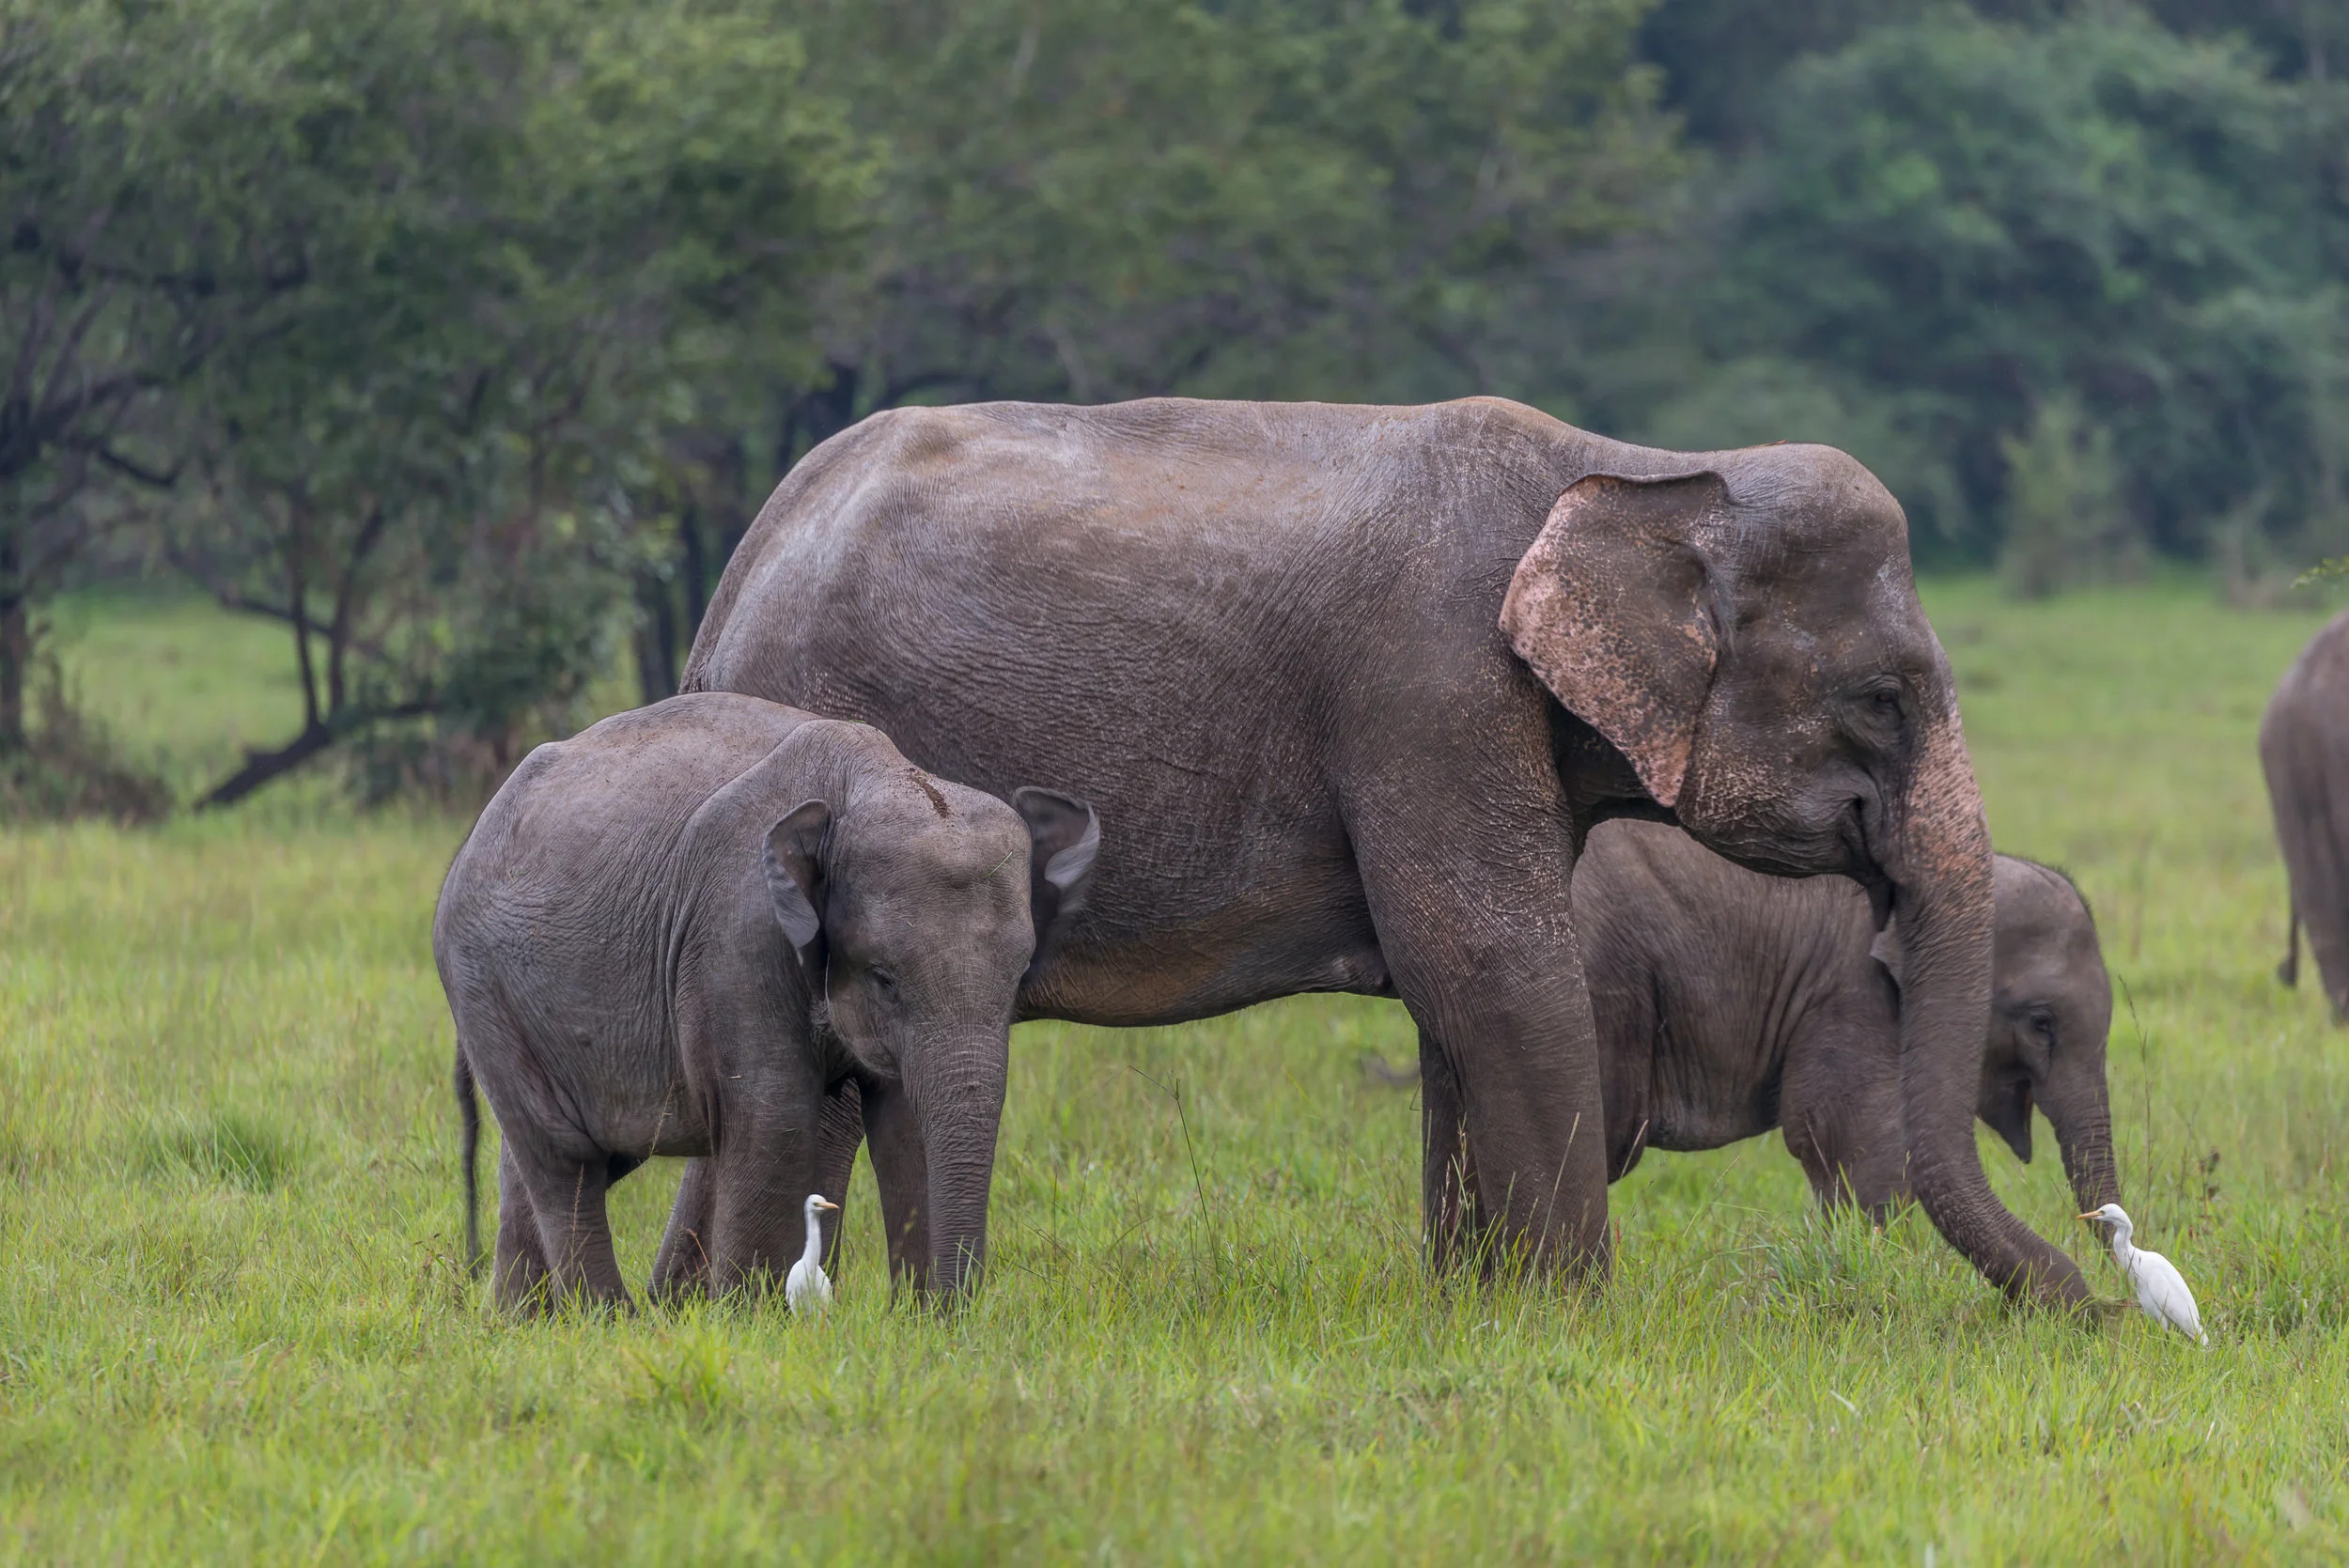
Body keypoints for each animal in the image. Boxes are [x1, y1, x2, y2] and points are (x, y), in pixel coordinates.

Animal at [434, 692, 1098, 1310]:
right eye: (884, 978)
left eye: (1019, 977)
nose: (953, 1309)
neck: (875, 779)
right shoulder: (737, 931)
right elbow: (772, 1113)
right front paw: (749, 1320)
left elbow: (904, 1119)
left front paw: (918, 1322)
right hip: (481, 982)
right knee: (565, 1155)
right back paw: (607, 1320)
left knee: (571, 1157)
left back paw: (522, 1321)